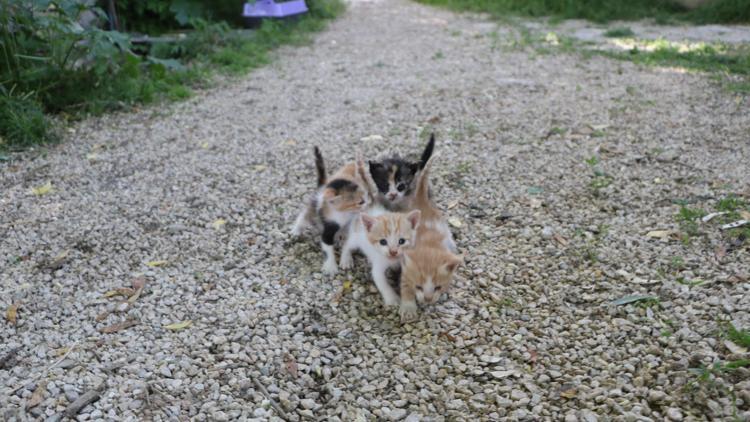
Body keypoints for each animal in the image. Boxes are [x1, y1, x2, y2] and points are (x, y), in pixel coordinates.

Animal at [292, 147, 372, 276]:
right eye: (360, 202)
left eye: (367, 195)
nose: (369, 204)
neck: (345, 215)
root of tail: (323, 186)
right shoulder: (328, 227)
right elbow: (327, 247)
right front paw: (330, 266)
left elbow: (348, 243)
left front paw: (346, 260)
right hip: (313, 208)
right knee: (304, 216)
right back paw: (296, 230)